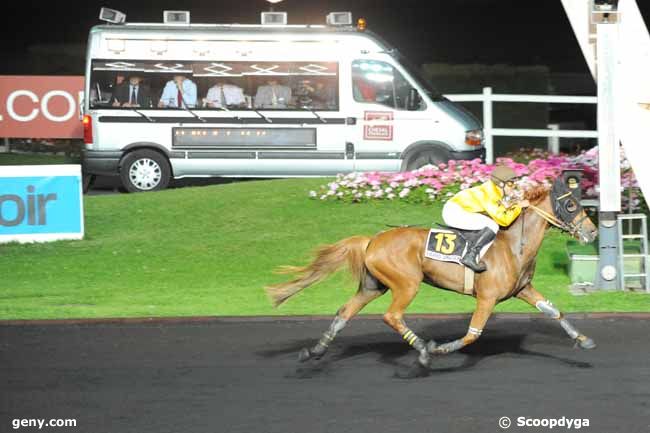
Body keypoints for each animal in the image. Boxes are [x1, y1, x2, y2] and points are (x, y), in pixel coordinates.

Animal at [264, 177, 596, 366]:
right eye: (570, 205)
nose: (592, 232)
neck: (514, 244)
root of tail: (372, 240)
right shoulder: (486, 298)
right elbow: (472, 334)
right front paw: (439, 350)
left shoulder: (522, 289)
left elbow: (554, 311)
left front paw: (584, 340)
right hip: (406, 284)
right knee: (392, 316)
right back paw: (423, 350)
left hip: (373, 286)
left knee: (344, 312)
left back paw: (315, 351)